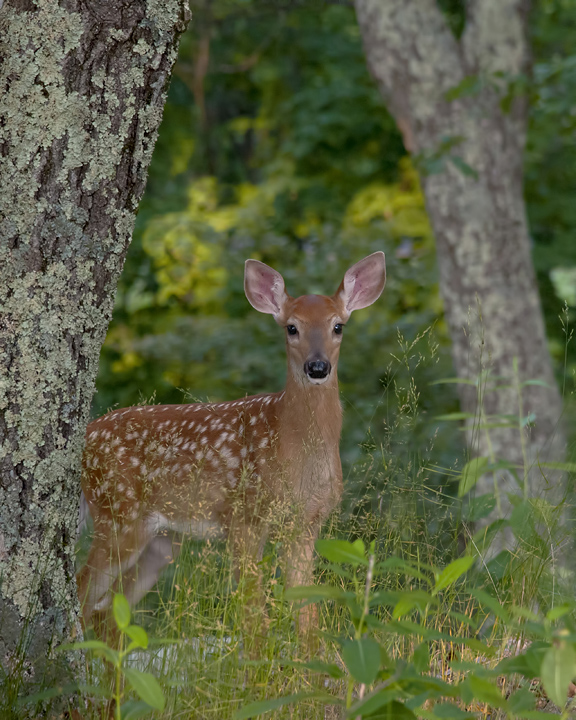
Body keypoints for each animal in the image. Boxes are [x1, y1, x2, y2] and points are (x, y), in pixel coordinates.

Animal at [77, 252, 386, 640]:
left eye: (338, 326)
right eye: (291, 327)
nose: (317, 367)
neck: (290, 440)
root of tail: (85, 437)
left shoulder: (305, 523)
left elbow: (307, 615)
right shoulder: (243, 516)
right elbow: (253, 615)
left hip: (162, 539)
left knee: (107, 613)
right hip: (118, 512)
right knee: (81, 591)